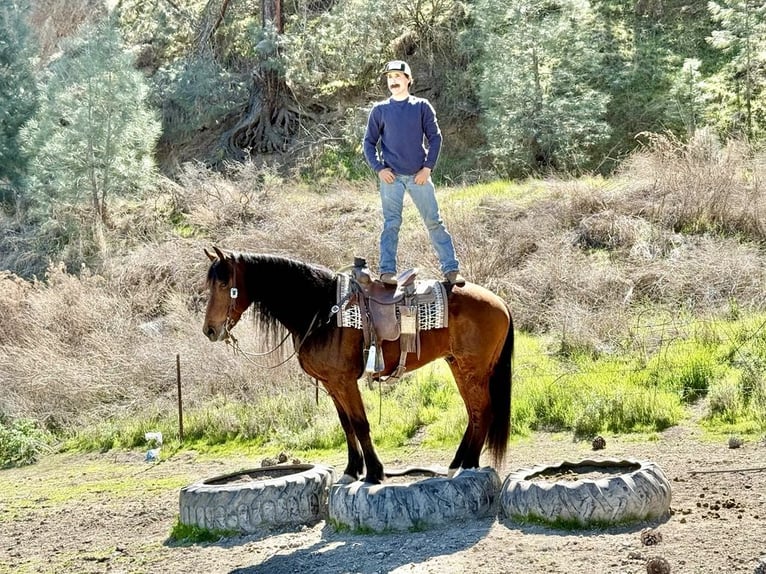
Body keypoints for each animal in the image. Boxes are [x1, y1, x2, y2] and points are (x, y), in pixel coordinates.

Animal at [202, 247, 514, 484]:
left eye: (223, 284)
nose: (210, 330)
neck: (320, 309)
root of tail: (500, 302)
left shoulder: (345, 381)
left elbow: (360, 423)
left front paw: (374, 473)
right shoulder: (331, 385)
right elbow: (346, 426)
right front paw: (352, 470)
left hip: (473, 369)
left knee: (482, 411)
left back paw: (469, 464)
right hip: (458, 366)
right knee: (473, 413)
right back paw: (457, 463)